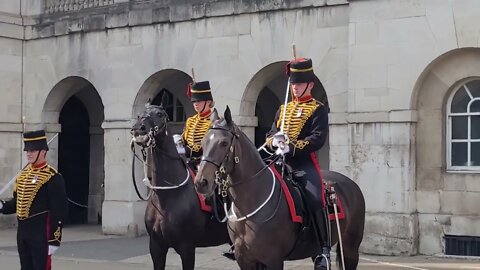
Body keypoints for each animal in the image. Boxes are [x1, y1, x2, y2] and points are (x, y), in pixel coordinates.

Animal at [130, 102, 230, 270]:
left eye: (159, 114)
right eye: (139, 114)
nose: (139, 130)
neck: (168, 195)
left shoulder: (187, 247)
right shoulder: (156, 247)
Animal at [193, 107, 366, 270]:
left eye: (223, 143)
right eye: (203, 142)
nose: (201, 182)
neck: (249, 208)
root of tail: (351, 183)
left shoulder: (273, 259)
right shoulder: (245, 260)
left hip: (350, 248)